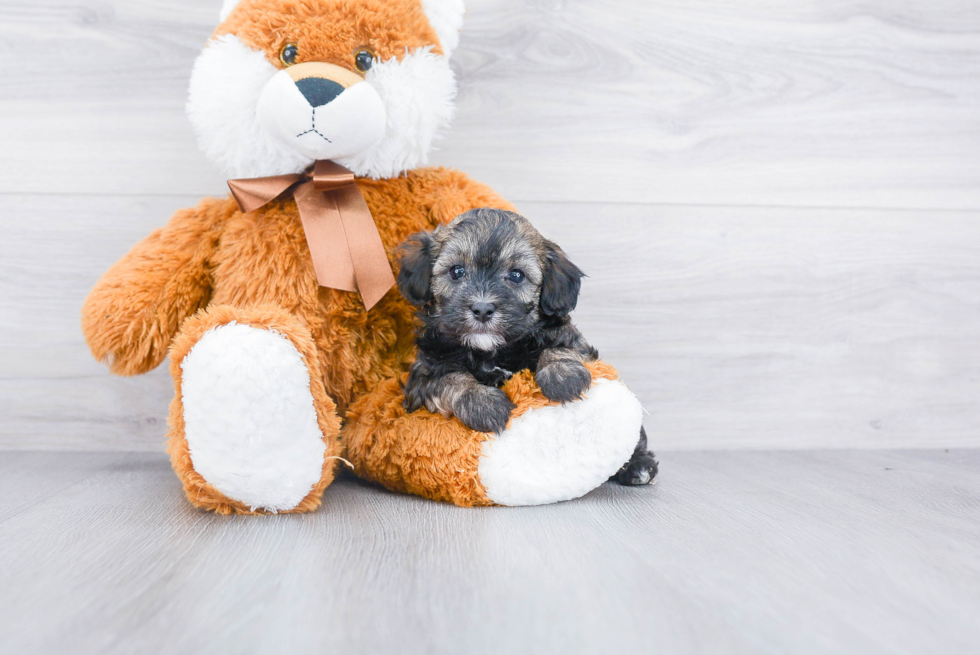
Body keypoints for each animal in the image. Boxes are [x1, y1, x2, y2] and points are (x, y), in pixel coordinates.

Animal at [396, 210, 660, 486]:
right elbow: (451, 379)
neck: (492, 351)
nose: (482, 309)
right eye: (456, 271)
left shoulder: (573, 341)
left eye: (516, 275)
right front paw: (483, 404)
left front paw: (563, 378)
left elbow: (558, 348)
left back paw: (639, 465)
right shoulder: (425, 373)